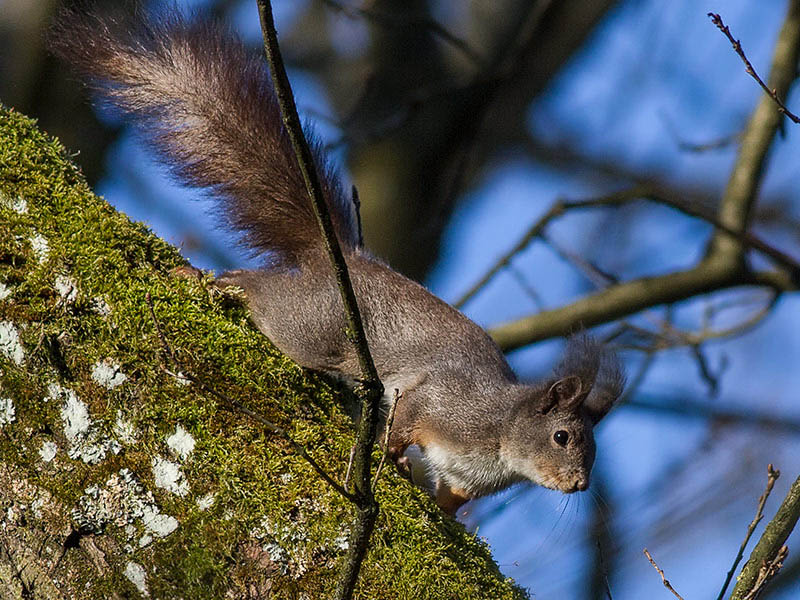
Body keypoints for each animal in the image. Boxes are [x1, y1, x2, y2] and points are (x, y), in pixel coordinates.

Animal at [48, 5, 624, 516]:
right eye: (562, 436)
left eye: (594, 450)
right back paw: (212, 280)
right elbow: (409, 415)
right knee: (263, 294)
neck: (501, 440)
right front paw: (394, 457)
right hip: (314, 326)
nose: (578, 485)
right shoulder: (446, 402)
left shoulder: (463, 481)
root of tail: (342, 260)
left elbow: (450, 500)